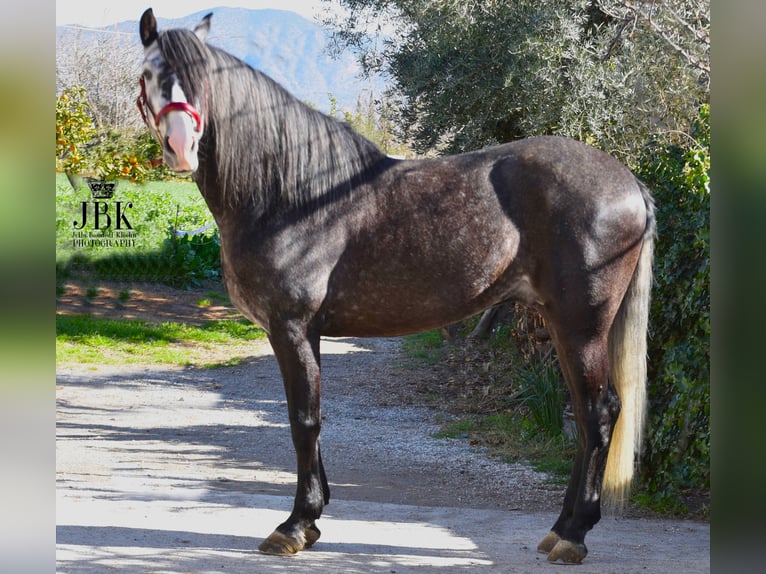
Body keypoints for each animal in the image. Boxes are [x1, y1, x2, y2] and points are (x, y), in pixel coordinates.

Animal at [137, 9, 654, 564]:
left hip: (582, 326)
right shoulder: (302, 333)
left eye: (204, 79)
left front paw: (295, 524)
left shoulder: (291, 328)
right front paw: (313, 520)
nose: (180, 147)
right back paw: (559, 529)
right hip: (562, 324)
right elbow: (310, 418)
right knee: (585, 414)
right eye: (147, 73)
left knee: (598, 413)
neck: (291, 193)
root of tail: (628, 183)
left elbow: (303, 420)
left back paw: (574, 534)